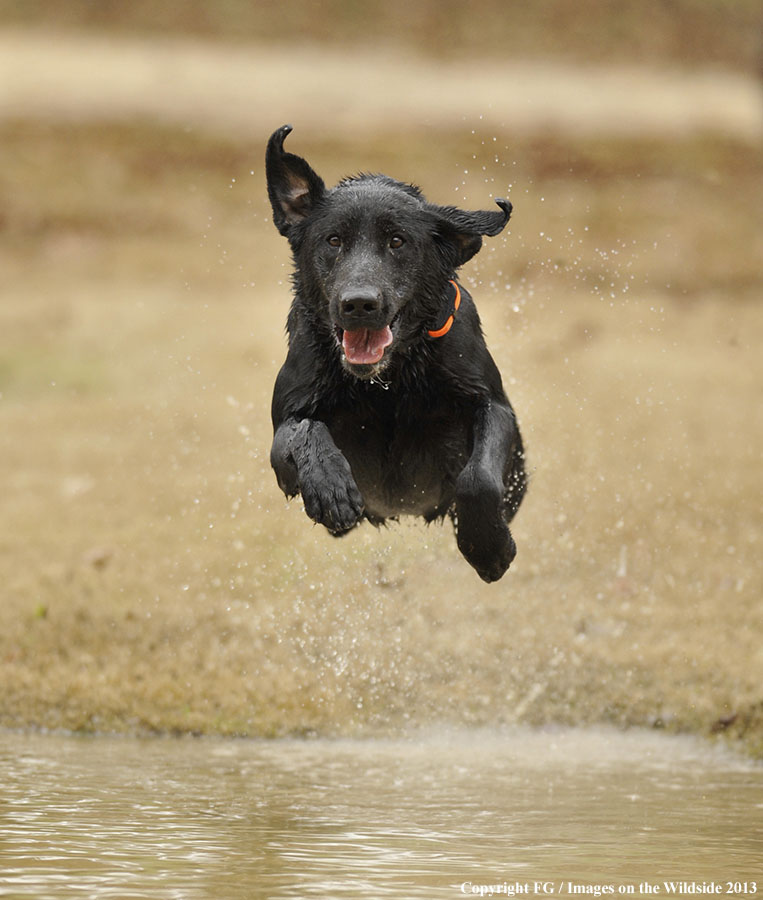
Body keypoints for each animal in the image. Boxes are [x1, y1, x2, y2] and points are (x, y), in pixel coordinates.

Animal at [264, 126, 524, 584]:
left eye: (397, 241)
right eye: (334, 240)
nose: (359, 304)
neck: (388, 383)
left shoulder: (492, 405)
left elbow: (478, 478)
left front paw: (489, 548)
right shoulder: (283, 435)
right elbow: (304, 429)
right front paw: (331, 487)